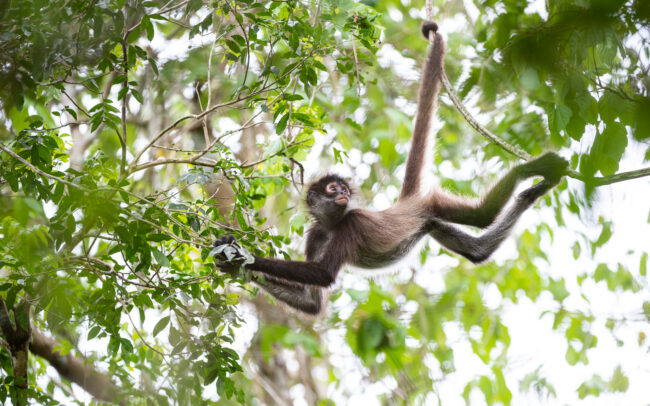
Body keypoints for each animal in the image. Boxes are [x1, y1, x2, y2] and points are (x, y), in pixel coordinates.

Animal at [213, 22, 568, 314]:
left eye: (343, 189)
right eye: (333, 189)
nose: (343, 193)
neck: (332, 224)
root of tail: (406, 203)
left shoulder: (352, 223)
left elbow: (322, 274)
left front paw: (239, 254)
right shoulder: (315, 234)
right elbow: (311, 302)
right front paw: (234, 266)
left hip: (432, 204)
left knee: (483, 215)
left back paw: (531, 170)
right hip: (428, 221)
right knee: (477, 251)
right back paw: (529, 194)